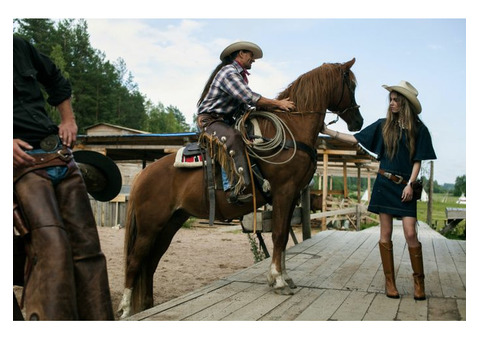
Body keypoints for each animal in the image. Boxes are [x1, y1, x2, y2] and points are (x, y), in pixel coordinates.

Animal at [117, 57, 364, 318]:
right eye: (352, 85)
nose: (359, 121)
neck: (293, 130)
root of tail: (143, 175)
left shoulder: (292, 195)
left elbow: (284, 238)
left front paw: (285, 277)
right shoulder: (284, 191)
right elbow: (278, 236)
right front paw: (277, 281)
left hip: (171, 223)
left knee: (151, 261)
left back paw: (146, 305)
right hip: (149, 226)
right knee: (135, 261)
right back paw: (125, 309)